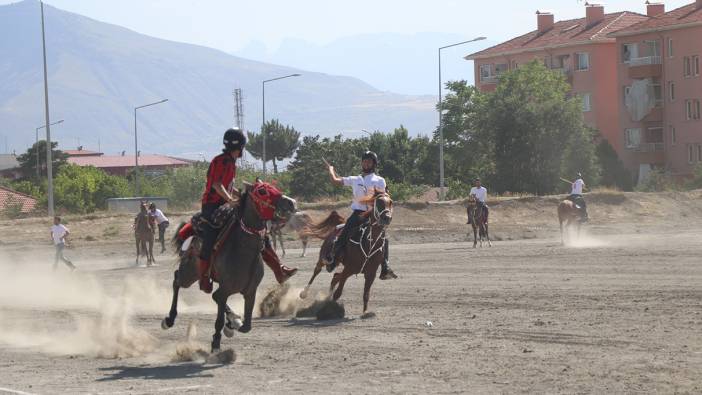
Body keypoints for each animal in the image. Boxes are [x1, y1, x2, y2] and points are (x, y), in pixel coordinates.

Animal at [162, 183, 296, 352]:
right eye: (262, 191)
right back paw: (169, 319)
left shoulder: (250, 291)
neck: (243, 250)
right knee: (177, 280)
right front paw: (216, 342)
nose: (291, 202)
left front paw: (233, 324)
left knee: (212, 294)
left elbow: (246, 326)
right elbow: (219, 319)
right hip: (190, 273)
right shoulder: (226, 289)